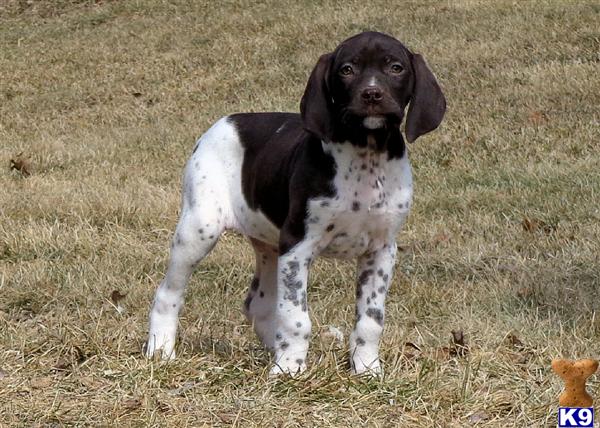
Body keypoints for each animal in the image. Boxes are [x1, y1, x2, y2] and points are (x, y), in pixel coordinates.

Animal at [145, 30, 446, 374]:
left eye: (396, 67)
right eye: (347, 70)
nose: (372, 94)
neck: (366, 155)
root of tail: (224, 121)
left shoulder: (381, 251)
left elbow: (370, 320)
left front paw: (367, 369)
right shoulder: (297, 245)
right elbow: (296, 318)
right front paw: (290, 369)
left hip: (270, 247)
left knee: (258, 304)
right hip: (200, 229)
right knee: (168, 293)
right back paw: (161, 349)